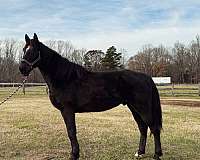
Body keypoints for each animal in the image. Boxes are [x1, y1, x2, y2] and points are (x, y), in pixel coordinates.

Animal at [18, 33, 162, 159]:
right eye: (24, 50)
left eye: (33, 51)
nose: (22, 68)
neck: (65, 77)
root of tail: (146, 77)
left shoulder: (67, 110)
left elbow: (71, 132)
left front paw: (74, 155)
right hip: (133, 108)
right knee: (143, 128)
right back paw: (139, 153)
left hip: (142, 108)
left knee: (154, 128)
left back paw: (157, 154)